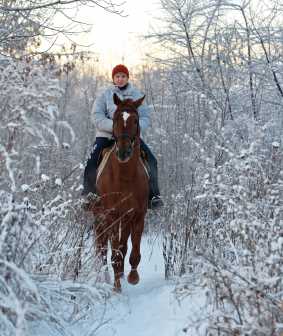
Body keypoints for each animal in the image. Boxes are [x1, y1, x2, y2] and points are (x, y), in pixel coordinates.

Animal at [91, 92, 150, 292]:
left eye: (135, 120)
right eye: (115, 118)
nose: (124, 152)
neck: (124, 177)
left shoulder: (138, 215)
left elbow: (133, 251)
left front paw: (132, 277)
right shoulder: (111, 215)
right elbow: (115, 253)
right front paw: (116, 286)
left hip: (124, 219)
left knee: (122, 246)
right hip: (99, 217)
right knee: (101, 247)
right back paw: (105, 277)